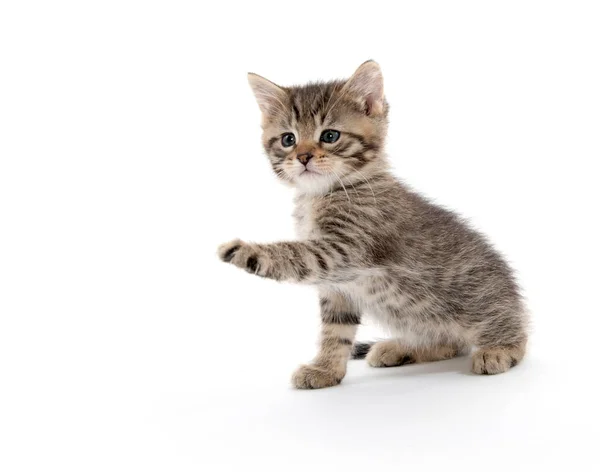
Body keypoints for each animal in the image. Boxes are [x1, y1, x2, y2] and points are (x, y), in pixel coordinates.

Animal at [218, 60, 528, 390]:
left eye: (330, 136)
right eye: (288, 139)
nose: (303, 157)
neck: (321, 195)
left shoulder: (342, 250)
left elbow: (292, 254)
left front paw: (244, 250)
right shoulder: (339, 287)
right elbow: (335, 333)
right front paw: (326, 370)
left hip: (480, 300)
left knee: (510, 330)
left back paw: (500, 348)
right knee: (450, 343)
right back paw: (401, 348)